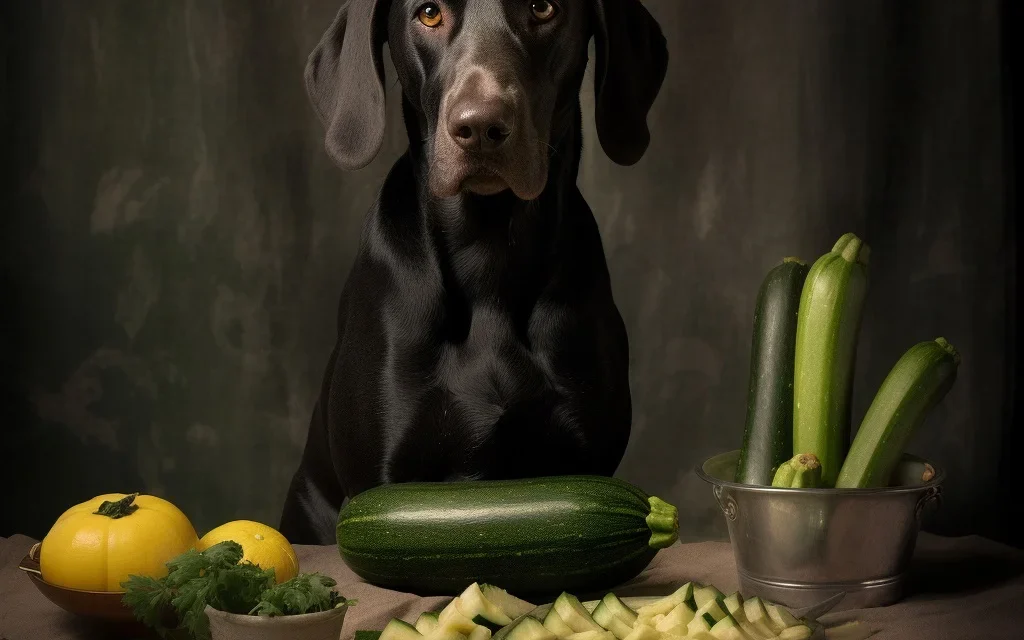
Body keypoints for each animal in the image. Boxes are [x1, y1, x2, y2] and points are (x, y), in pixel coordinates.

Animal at [278, 0, 663, 544]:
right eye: (429, 13)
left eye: (543, 7)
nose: (480, 127)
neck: (488, 256)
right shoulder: (382, 479)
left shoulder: (585, 460)